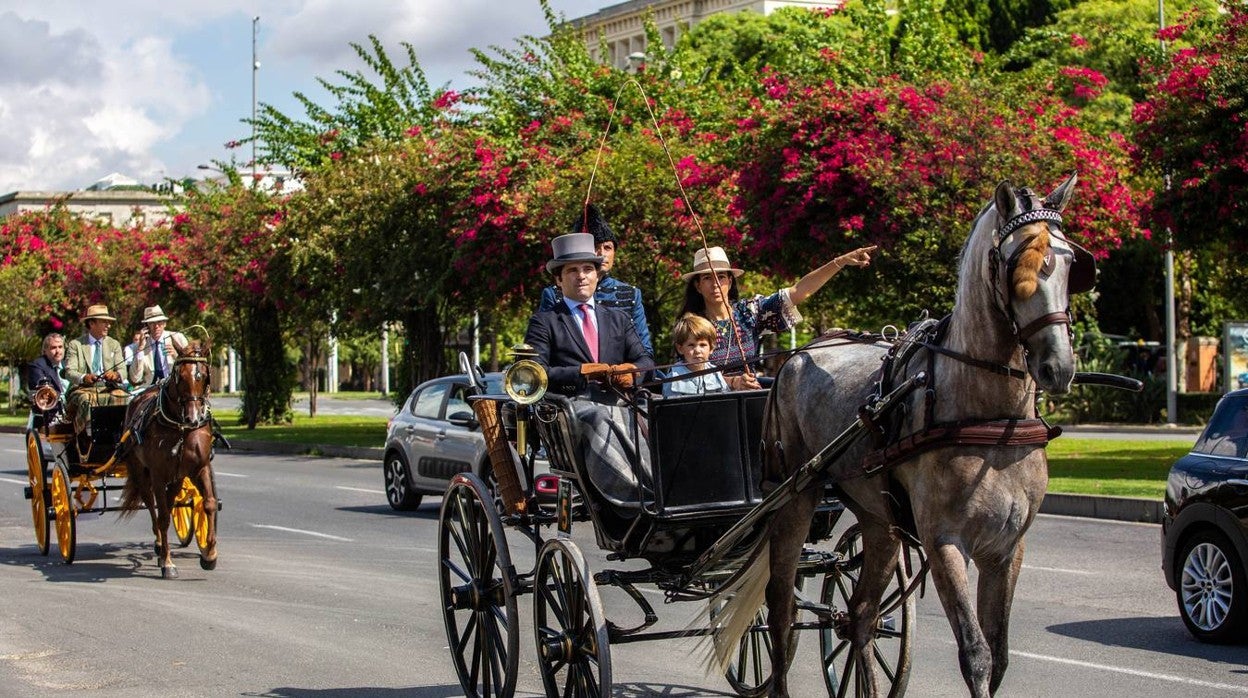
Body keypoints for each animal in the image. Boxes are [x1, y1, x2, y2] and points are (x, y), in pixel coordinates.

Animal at [118, 339, 217, 579]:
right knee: (152, 506)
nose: (194, 418)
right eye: (180, 376)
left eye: (203, 375)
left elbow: (208, 504)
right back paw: (159, 547)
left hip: (176, 477)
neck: (180, 427)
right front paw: (168, 562)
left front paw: (209, 555)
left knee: (170, 503)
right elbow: (162, 516)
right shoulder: (158, 474)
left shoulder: (199, 468)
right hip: (142, 473)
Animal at [713, 174, 1093, 698]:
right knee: (782, 609)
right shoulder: (943, 541)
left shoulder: (1007, 548)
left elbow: (998, 655)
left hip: (879, 519)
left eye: (1073, 263)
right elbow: (976, 654)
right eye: (1016, 263)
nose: (1058, 366)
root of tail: (797, 355)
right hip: (795, 497)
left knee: (860, 616)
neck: (988, 416)